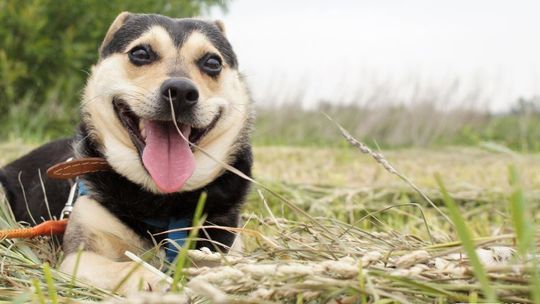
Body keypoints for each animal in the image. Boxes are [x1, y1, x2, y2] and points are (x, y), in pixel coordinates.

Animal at [0, 11, 253, 292]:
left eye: (213, 62)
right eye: (140, 53)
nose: (181, 92)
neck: (163, 199)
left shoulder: (228, 245)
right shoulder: (81, 257)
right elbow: (130, 267)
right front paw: (160, 283)